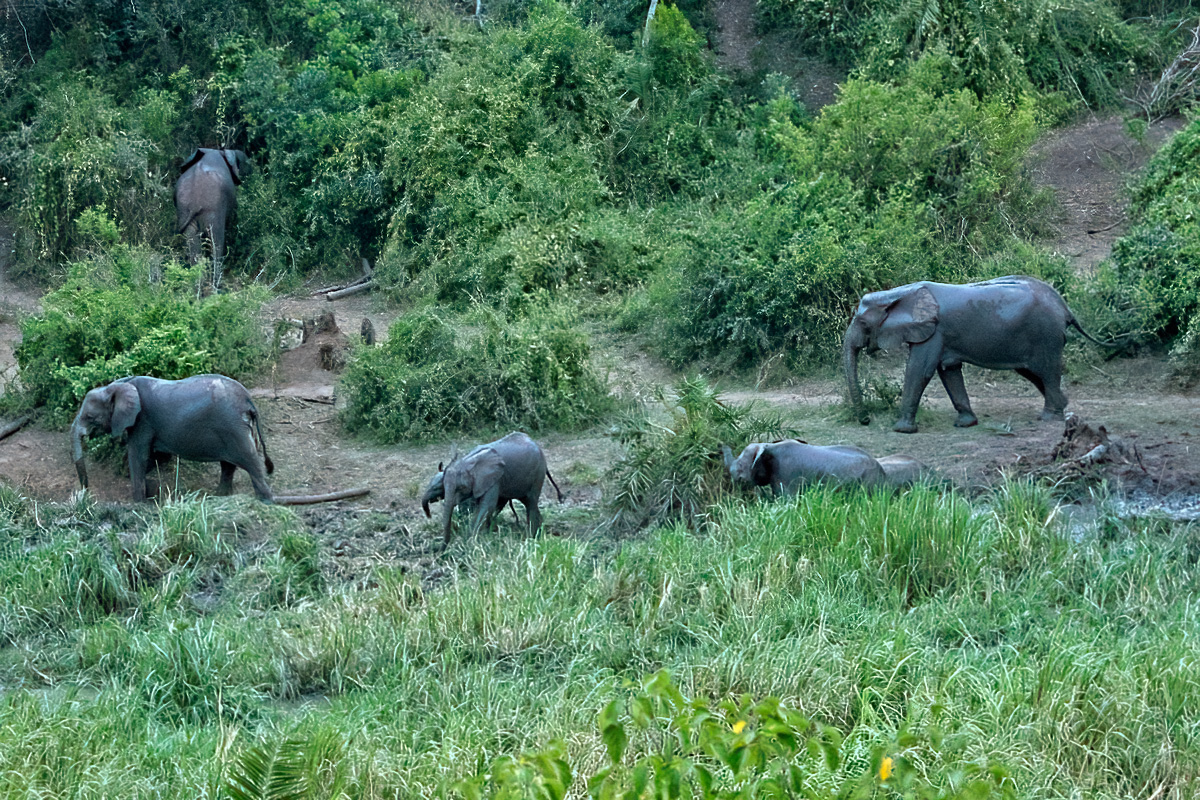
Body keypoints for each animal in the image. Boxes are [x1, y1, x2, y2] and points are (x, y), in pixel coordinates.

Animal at [72, 374, 274, 501]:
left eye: (89, 417)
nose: (86, 493)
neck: (118, 385)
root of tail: (248, 400)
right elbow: (157, 456)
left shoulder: (142, 420)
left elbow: (138, 455)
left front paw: (138, 503)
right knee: (228, 465)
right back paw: (219, 496)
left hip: (233, 427)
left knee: (250, 460)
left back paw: (267, 500)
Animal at [422, 431, 561, 551]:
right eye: (441, 487)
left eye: (460, 488)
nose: (428, 515)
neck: (467, 462)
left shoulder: (494, 480)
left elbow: (486, 507)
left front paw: (470, 543)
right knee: (527, 502)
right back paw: (539, 533)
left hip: (538, 473)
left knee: (530, 503)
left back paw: (532, 538)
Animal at [840, 277, 1108, 438]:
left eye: (862, 323)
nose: (865, 420)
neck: (899, 294)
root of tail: (1064, 307)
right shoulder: (942, 336)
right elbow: (949, 371)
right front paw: (966, 424)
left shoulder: (934, 331)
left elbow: (920, 370)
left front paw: (901, 430)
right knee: (1033, 373)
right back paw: (1063, 407)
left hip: (1045, 335)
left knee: (1047, 370)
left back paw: (1048, 417)